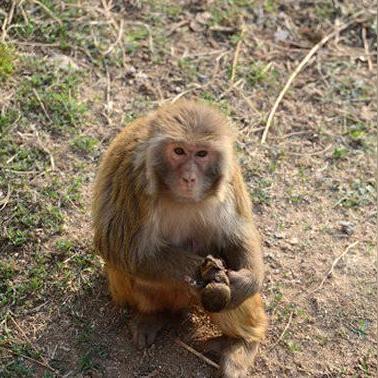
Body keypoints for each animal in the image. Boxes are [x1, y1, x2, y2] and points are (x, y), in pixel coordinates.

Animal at [92, 99, 268, 376]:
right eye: (178, 151)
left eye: (202, 154)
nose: (189, 177)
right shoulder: (133, 177)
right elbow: (121, 247)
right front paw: (209, 273)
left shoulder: (229, 178)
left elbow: (238, 232)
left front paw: (246, 281)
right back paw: (153, 316)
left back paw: (242, 343)